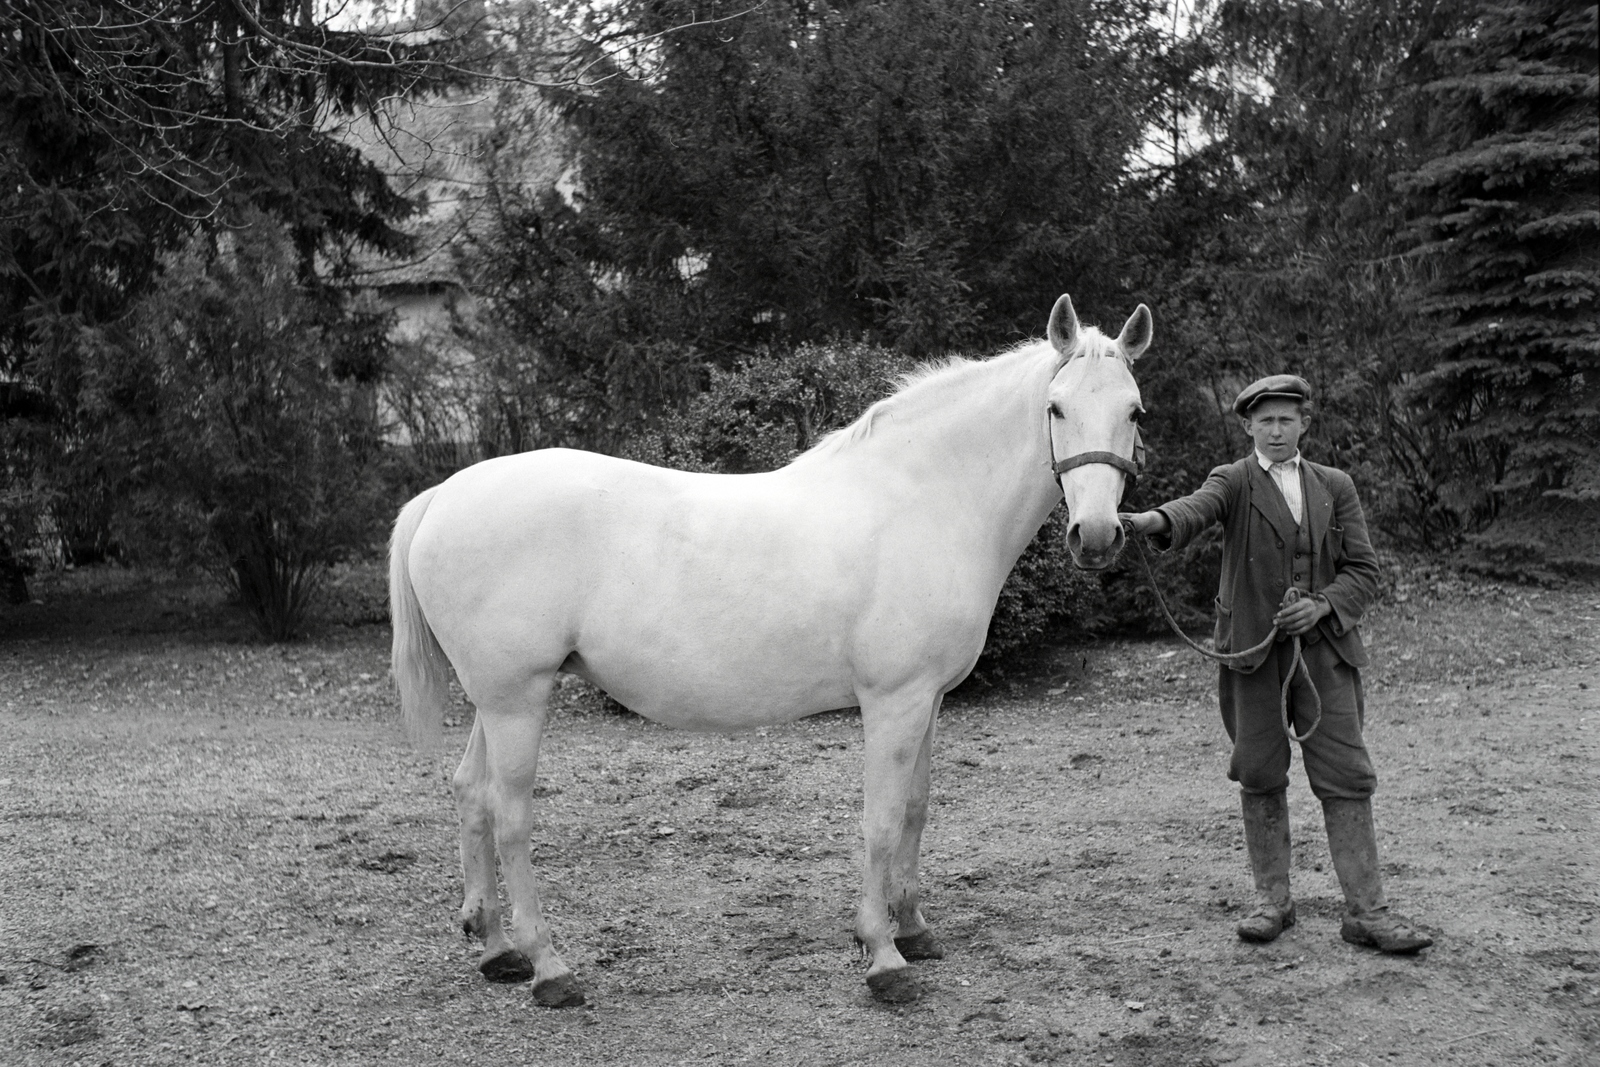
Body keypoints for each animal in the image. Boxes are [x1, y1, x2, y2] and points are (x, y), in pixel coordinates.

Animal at [387, 295, 1152, 1004]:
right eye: (1055, 407)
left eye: (1135, 412)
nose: (1095, 536)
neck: (920, 502)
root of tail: (445, 494)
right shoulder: (894, 700)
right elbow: (880, 820)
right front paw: (883, 956)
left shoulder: (928, 699)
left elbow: (914, 808)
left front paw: (913, 927)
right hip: (517, 699)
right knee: (511, 815)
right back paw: (550, 968)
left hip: (497, 700)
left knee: (471, 793)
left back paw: (497, 951)